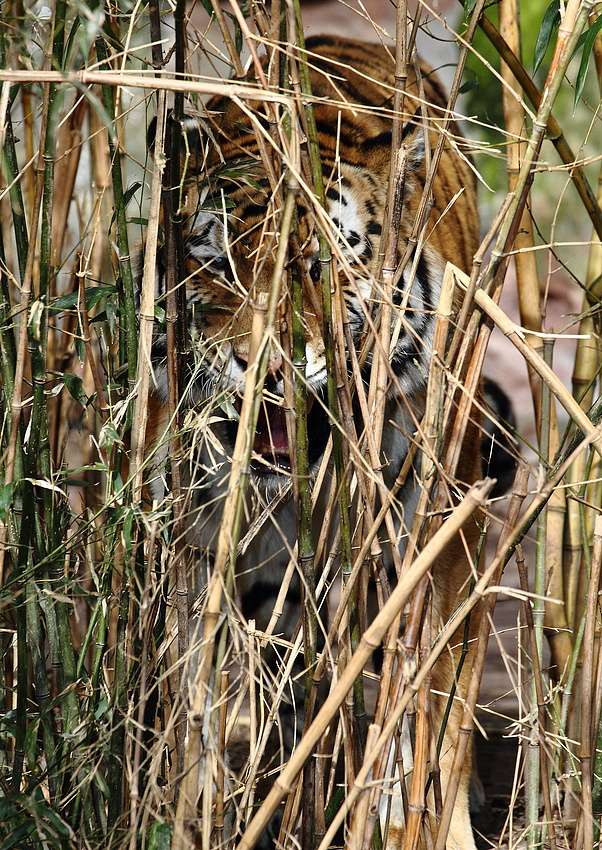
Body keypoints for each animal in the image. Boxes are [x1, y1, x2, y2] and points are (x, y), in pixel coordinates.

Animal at [141, 34, 496, 848]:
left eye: (319, 264)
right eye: (215, 258)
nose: (263, 364)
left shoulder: (439, 535)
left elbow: (429, 710)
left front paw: (422, 820)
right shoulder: (194, 547)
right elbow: (194, 700)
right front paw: (194, 808)